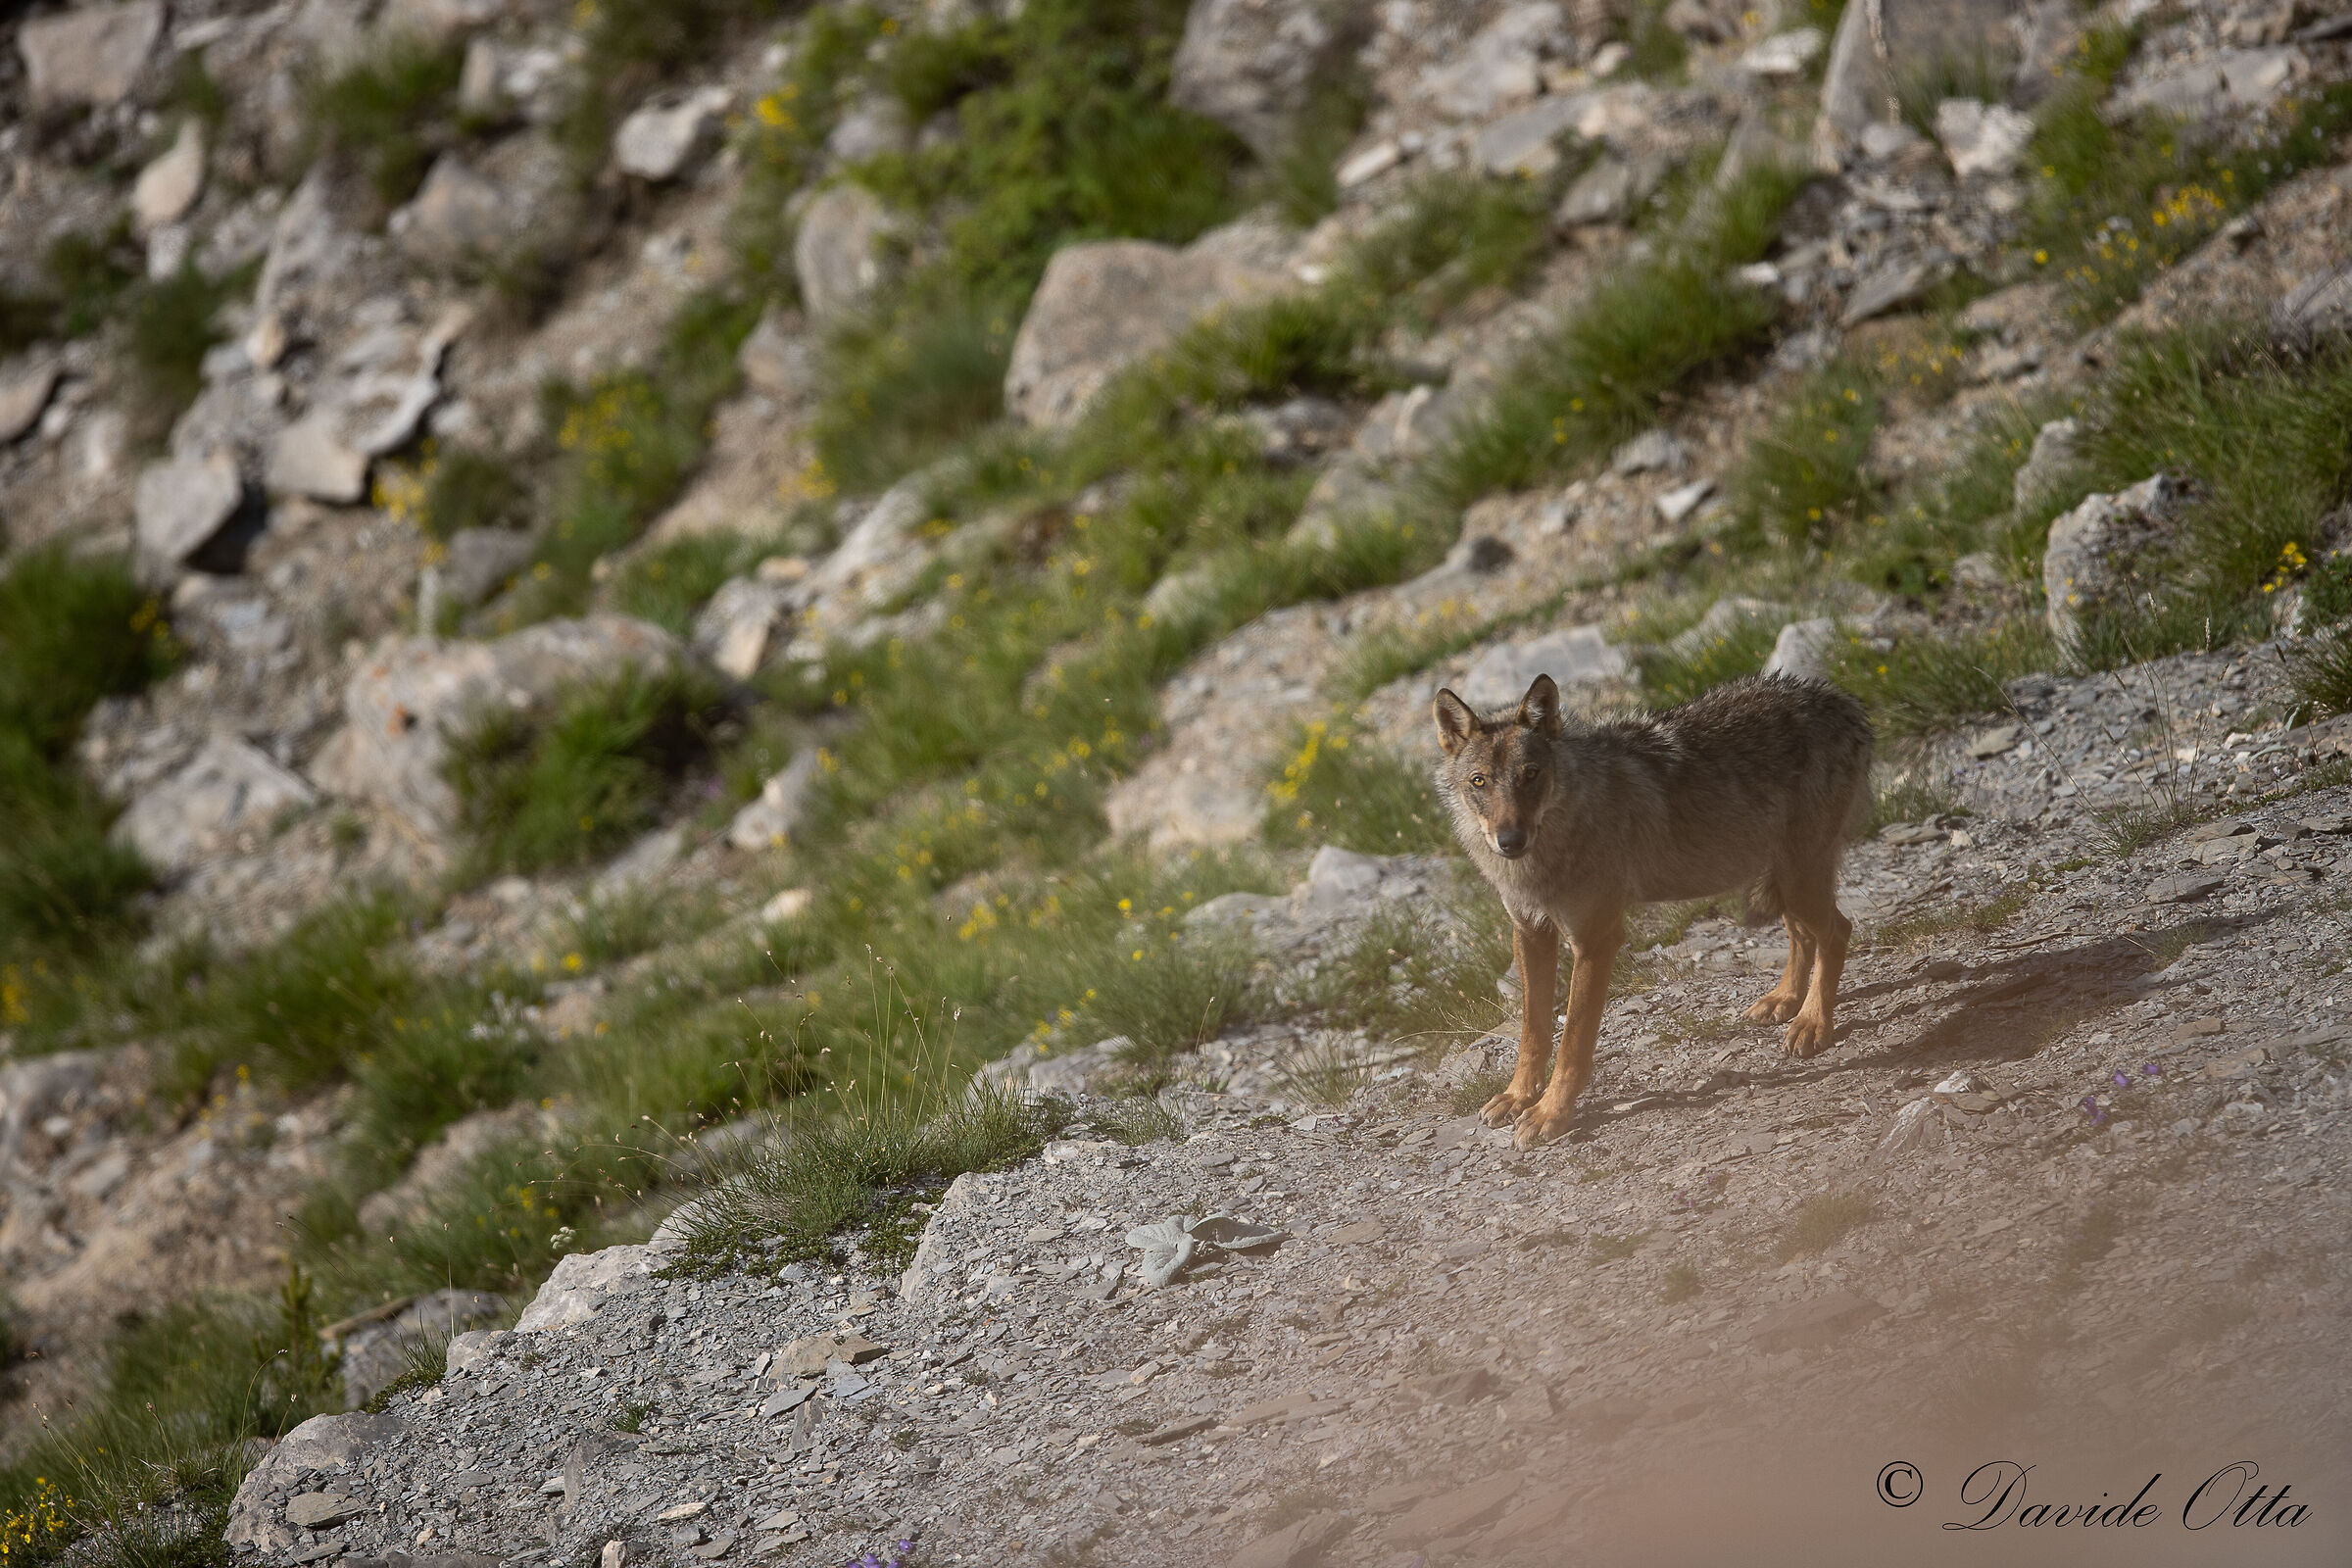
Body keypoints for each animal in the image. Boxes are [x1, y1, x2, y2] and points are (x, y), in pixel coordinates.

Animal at [1432, 670, 1873, 1150]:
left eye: (1530, 775)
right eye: (1479, 782)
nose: (1510, 841)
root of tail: (1837, 698)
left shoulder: (1595, 940)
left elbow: (1573, 1042)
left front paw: (1551, 1113)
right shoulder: (1529, 931)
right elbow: (1533, 1033)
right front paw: (1517, 1097)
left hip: (1798, 879)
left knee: (1838, 930)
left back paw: (1813, 1023)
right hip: (1782, 877)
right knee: (1804, 932)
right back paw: (1784, 1002)